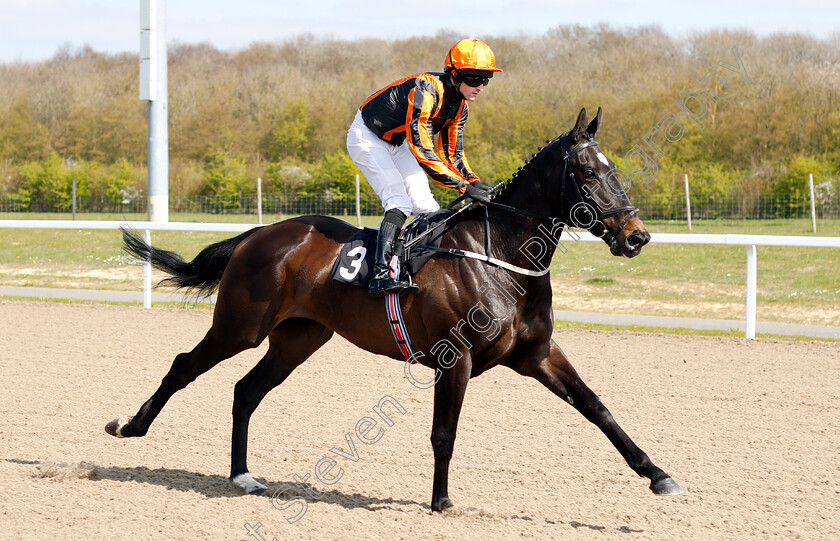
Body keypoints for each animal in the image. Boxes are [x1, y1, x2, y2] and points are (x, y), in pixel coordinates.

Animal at [105, 104, 684, 510]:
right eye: (586, 173)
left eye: (615, 169)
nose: (636, 236)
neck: (500, 256)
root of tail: (261, 233)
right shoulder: (456, 358)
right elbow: (444, 433)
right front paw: (441, 501)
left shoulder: (537, 354)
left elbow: (597, 408)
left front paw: (658, 475)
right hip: (241, 325)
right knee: (184, 366)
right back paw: (130, 427)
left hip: (298, 338)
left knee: (245, 390)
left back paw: (242, 475)